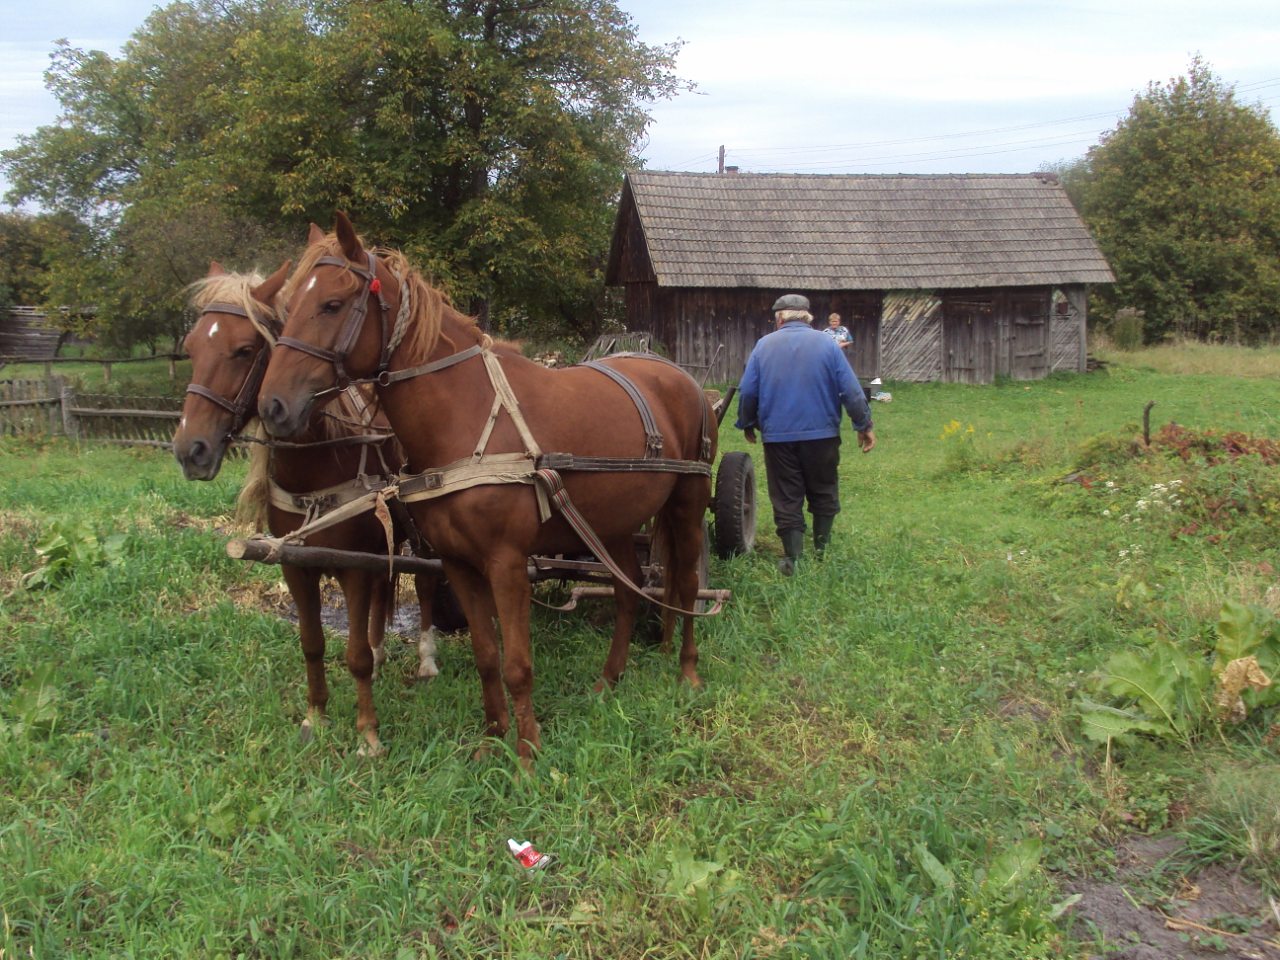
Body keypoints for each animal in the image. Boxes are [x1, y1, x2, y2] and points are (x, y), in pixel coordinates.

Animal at [174, 263, 445, 757]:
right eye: (192, 347)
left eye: (245, 350)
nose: (190, 450)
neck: (317, 462)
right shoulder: (297, 567)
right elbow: (313, 642)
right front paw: (316, 716)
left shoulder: (354, 567)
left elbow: (353, 654)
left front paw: (368, 733)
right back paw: (382, 651)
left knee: (426, 583)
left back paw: (426, 659)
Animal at [257, 213, 721, 773]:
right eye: (287, 308)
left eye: (331, 304)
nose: (273, 406)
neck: (467, 412)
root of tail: (681, 378)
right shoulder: (459, 563)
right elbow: (485, 655)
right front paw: (493, 737)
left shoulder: (505, 562)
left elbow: (518, 662)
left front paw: (527, 752)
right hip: (611, 524)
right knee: (630, 590)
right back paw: (609, 679)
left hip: (687, 506)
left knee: (685, 587)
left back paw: (688, 671)